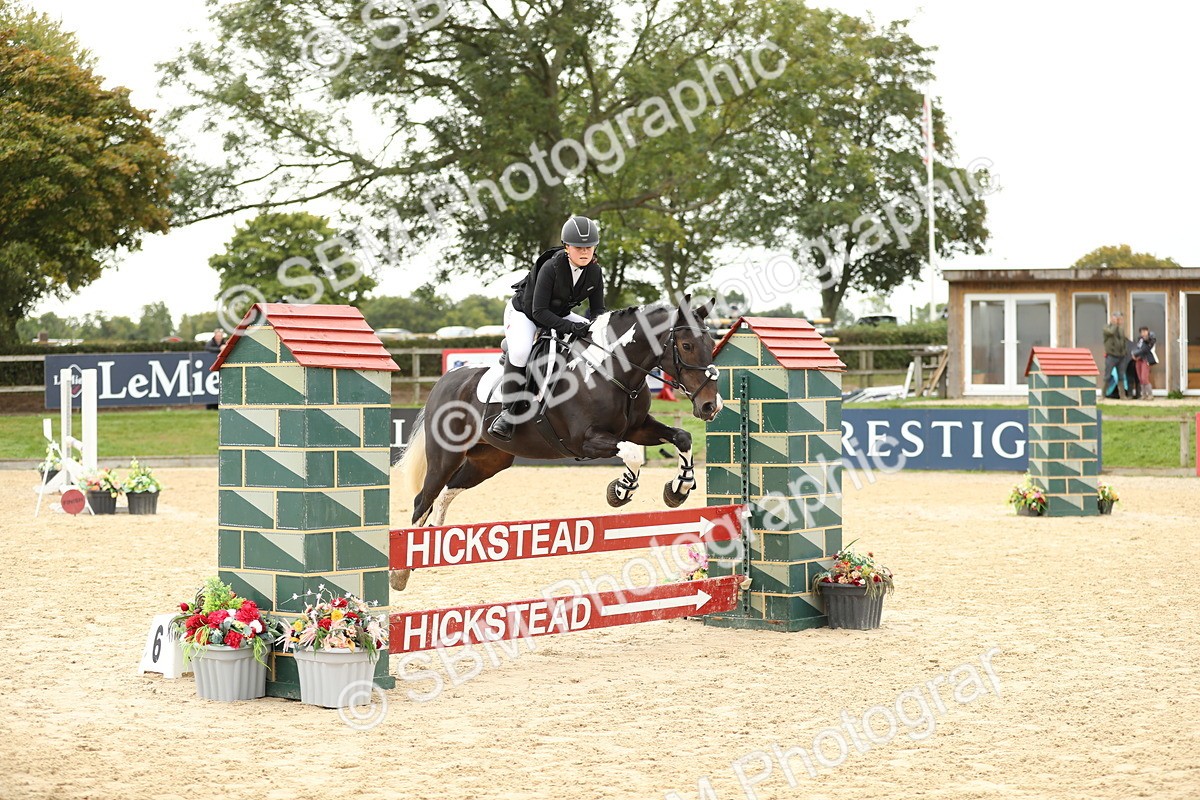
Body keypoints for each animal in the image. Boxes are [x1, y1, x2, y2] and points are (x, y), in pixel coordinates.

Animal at [389, 295, 724, 591]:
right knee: (423, 501)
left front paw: (679, 488)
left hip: (489, 460)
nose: (710, 406)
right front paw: (620, 491)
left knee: (446, 493)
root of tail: (443, 382)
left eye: (712, 345)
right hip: (445, 455)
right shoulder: (586, 441)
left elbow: (681, 437)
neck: (611, 371)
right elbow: (632, 454)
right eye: (686, 346)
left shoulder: (638, 428)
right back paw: (401, 574)